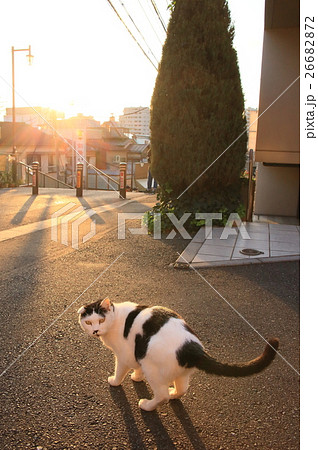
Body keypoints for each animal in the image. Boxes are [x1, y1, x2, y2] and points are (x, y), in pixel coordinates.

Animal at [78, 298, 280, 412]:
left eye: (101, 320)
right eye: (88, 322)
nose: (95, 330)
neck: (116, 318)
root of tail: (192, 348)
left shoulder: (124, 355)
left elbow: (120, 370)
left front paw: (115, 381)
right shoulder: (137, 352)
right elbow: (137, 368)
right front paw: (137, 376)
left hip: (153, 368)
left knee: (161, 396)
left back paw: (147, 405)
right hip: (180, 372)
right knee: (182, 389)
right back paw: (174, 393)